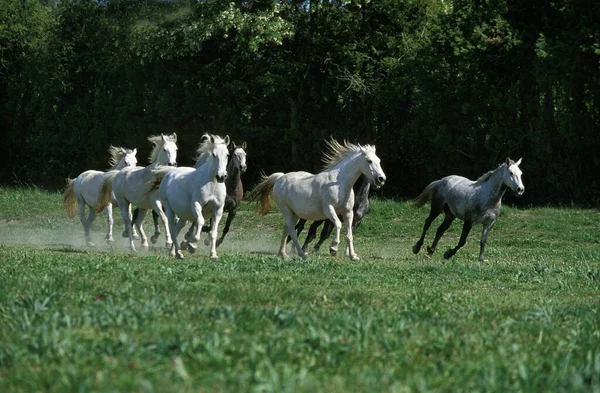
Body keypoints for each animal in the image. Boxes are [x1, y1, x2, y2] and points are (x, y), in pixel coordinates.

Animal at [247, 138, 384, 260]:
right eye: (369, 161)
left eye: (379, 160)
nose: (381, 179)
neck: (339, 183)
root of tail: (279, 178)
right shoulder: (329, 210)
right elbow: (337, 225)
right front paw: (333, 248)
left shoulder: (348, 213)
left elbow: (349, 234)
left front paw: (353, 256)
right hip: (286, 210)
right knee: (292, 231)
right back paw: (302, 254)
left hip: (294, 213)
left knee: (287, 230)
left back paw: (283, 254)